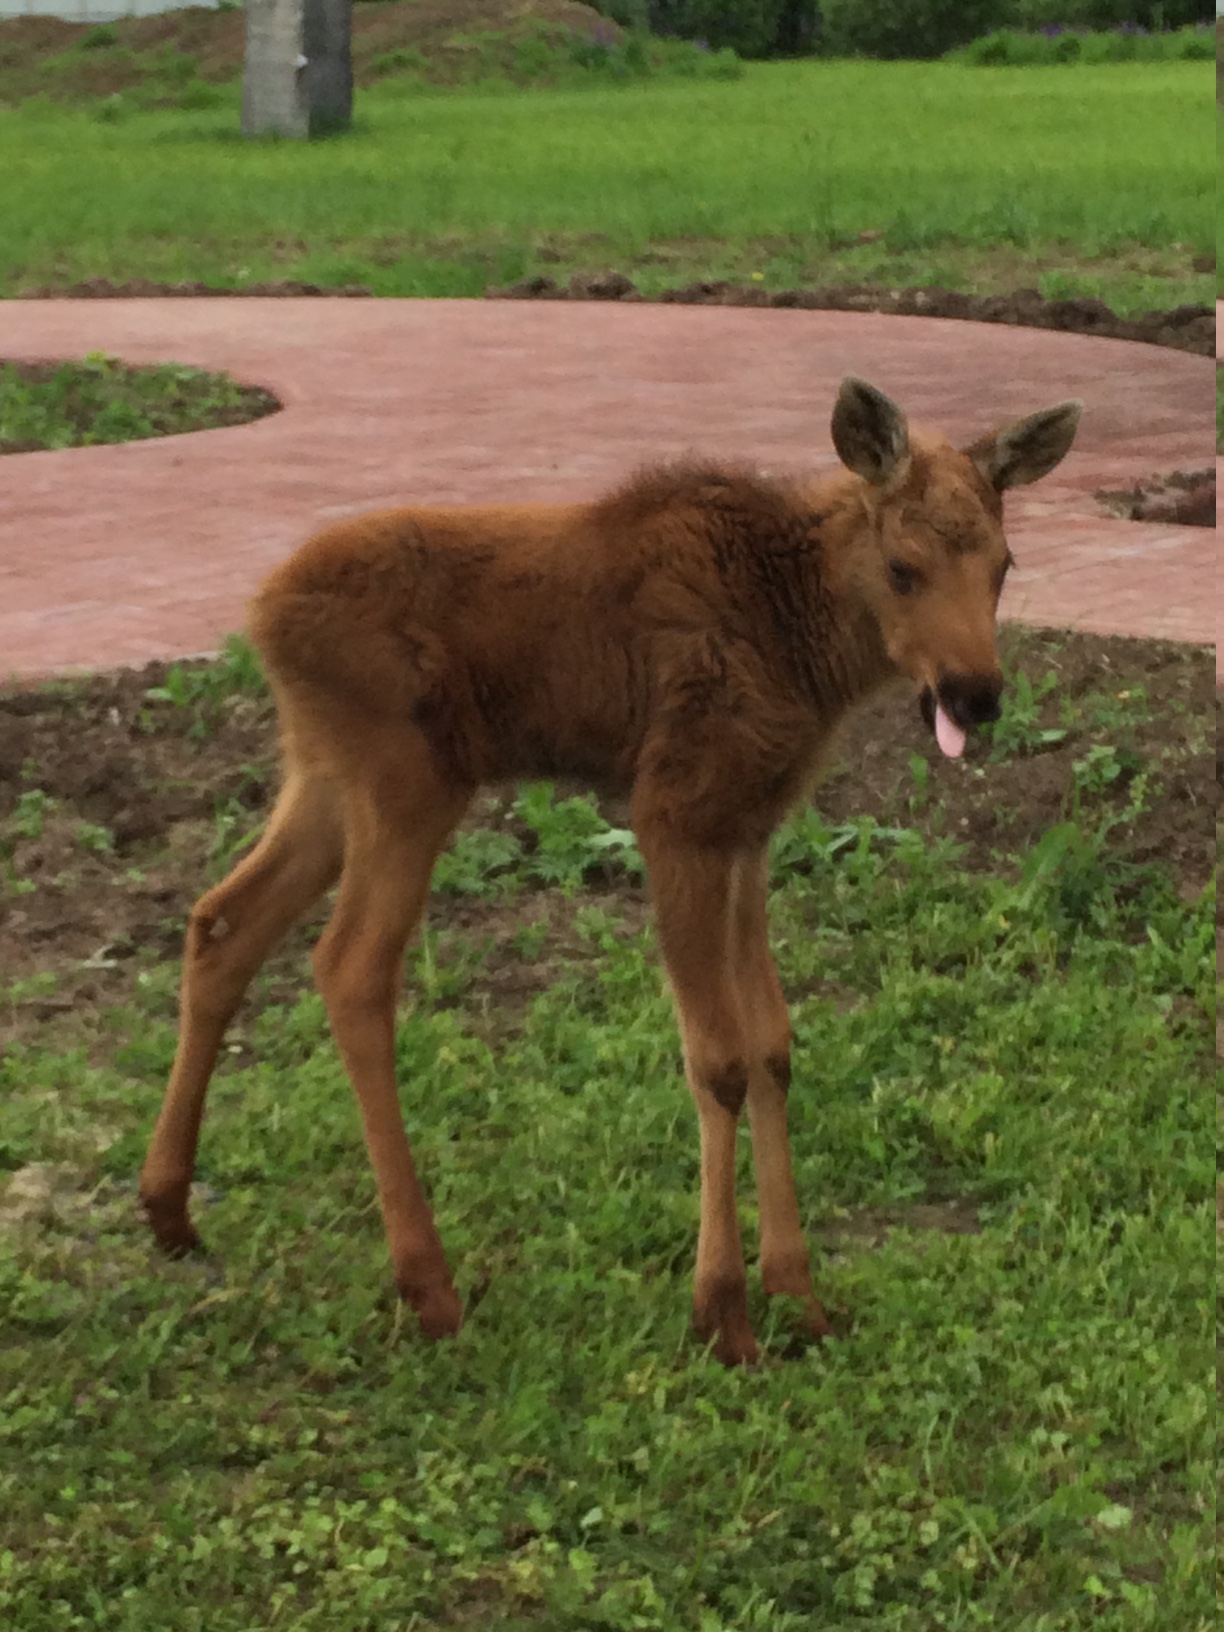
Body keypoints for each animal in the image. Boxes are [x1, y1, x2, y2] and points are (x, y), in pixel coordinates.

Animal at [141, 375, 1083, 1357]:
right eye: (903, 568)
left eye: (1005, 565)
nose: (976, 697)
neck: (804, 639)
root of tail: (260, 615)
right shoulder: (673, 811)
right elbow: (718, 1060)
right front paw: (723, 1313)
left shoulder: (748, 827)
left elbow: (773, 1045)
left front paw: (797, 1294)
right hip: (406, 781)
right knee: (350, 966)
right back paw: (428, 1283)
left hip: (326, 777)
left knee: (222, 920)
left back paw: (168, 1206)